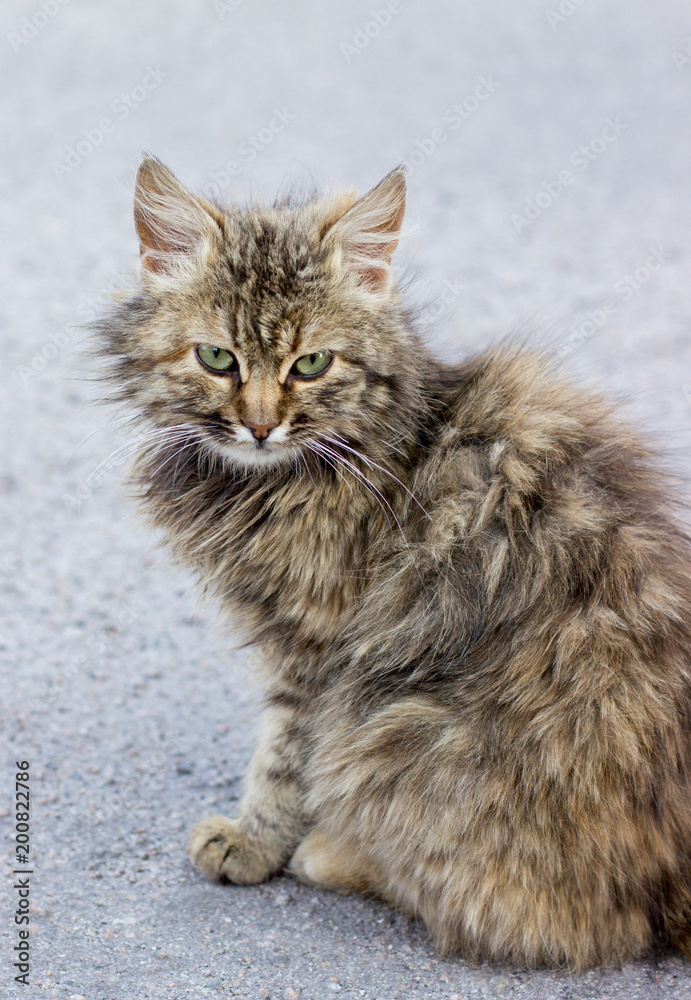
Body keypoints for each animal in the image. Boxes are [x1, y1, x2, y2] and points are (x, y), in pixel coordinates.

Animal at [95, 154, 691, 970]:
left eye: (311, 364)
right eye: (217, 358)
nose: (259, 425)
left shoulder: (316, 648)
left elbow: (282, 756)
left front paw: (252, 844)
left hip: (392, 735)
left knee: (549, 919)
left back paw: (331, 853)